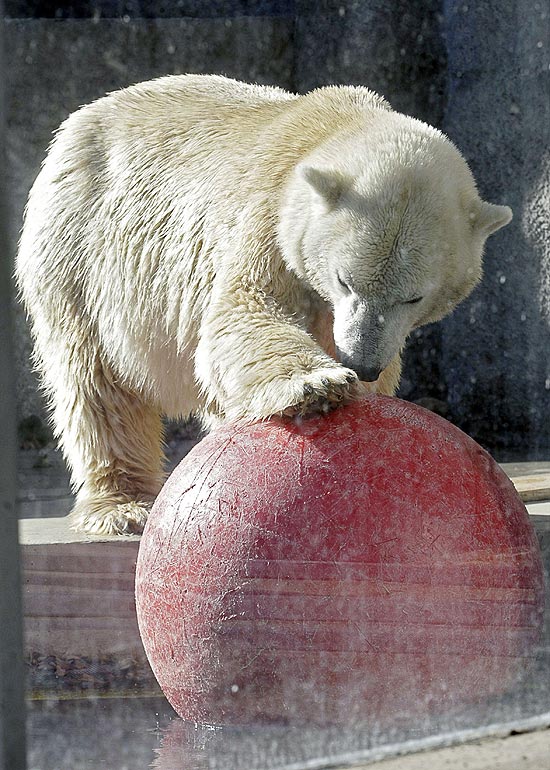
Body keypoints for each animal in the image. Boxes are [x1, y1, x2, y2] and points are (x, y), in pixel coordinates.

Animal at [16, 76, 512, 536]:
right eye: (344, 279)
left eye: (413, 297)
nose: (362, 363)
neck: (333, 128)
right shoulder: (268, 219)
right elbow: (244, 308)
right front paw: (317, 384)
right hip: (78, 249)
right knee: (95, 384)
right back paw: (123, 505)